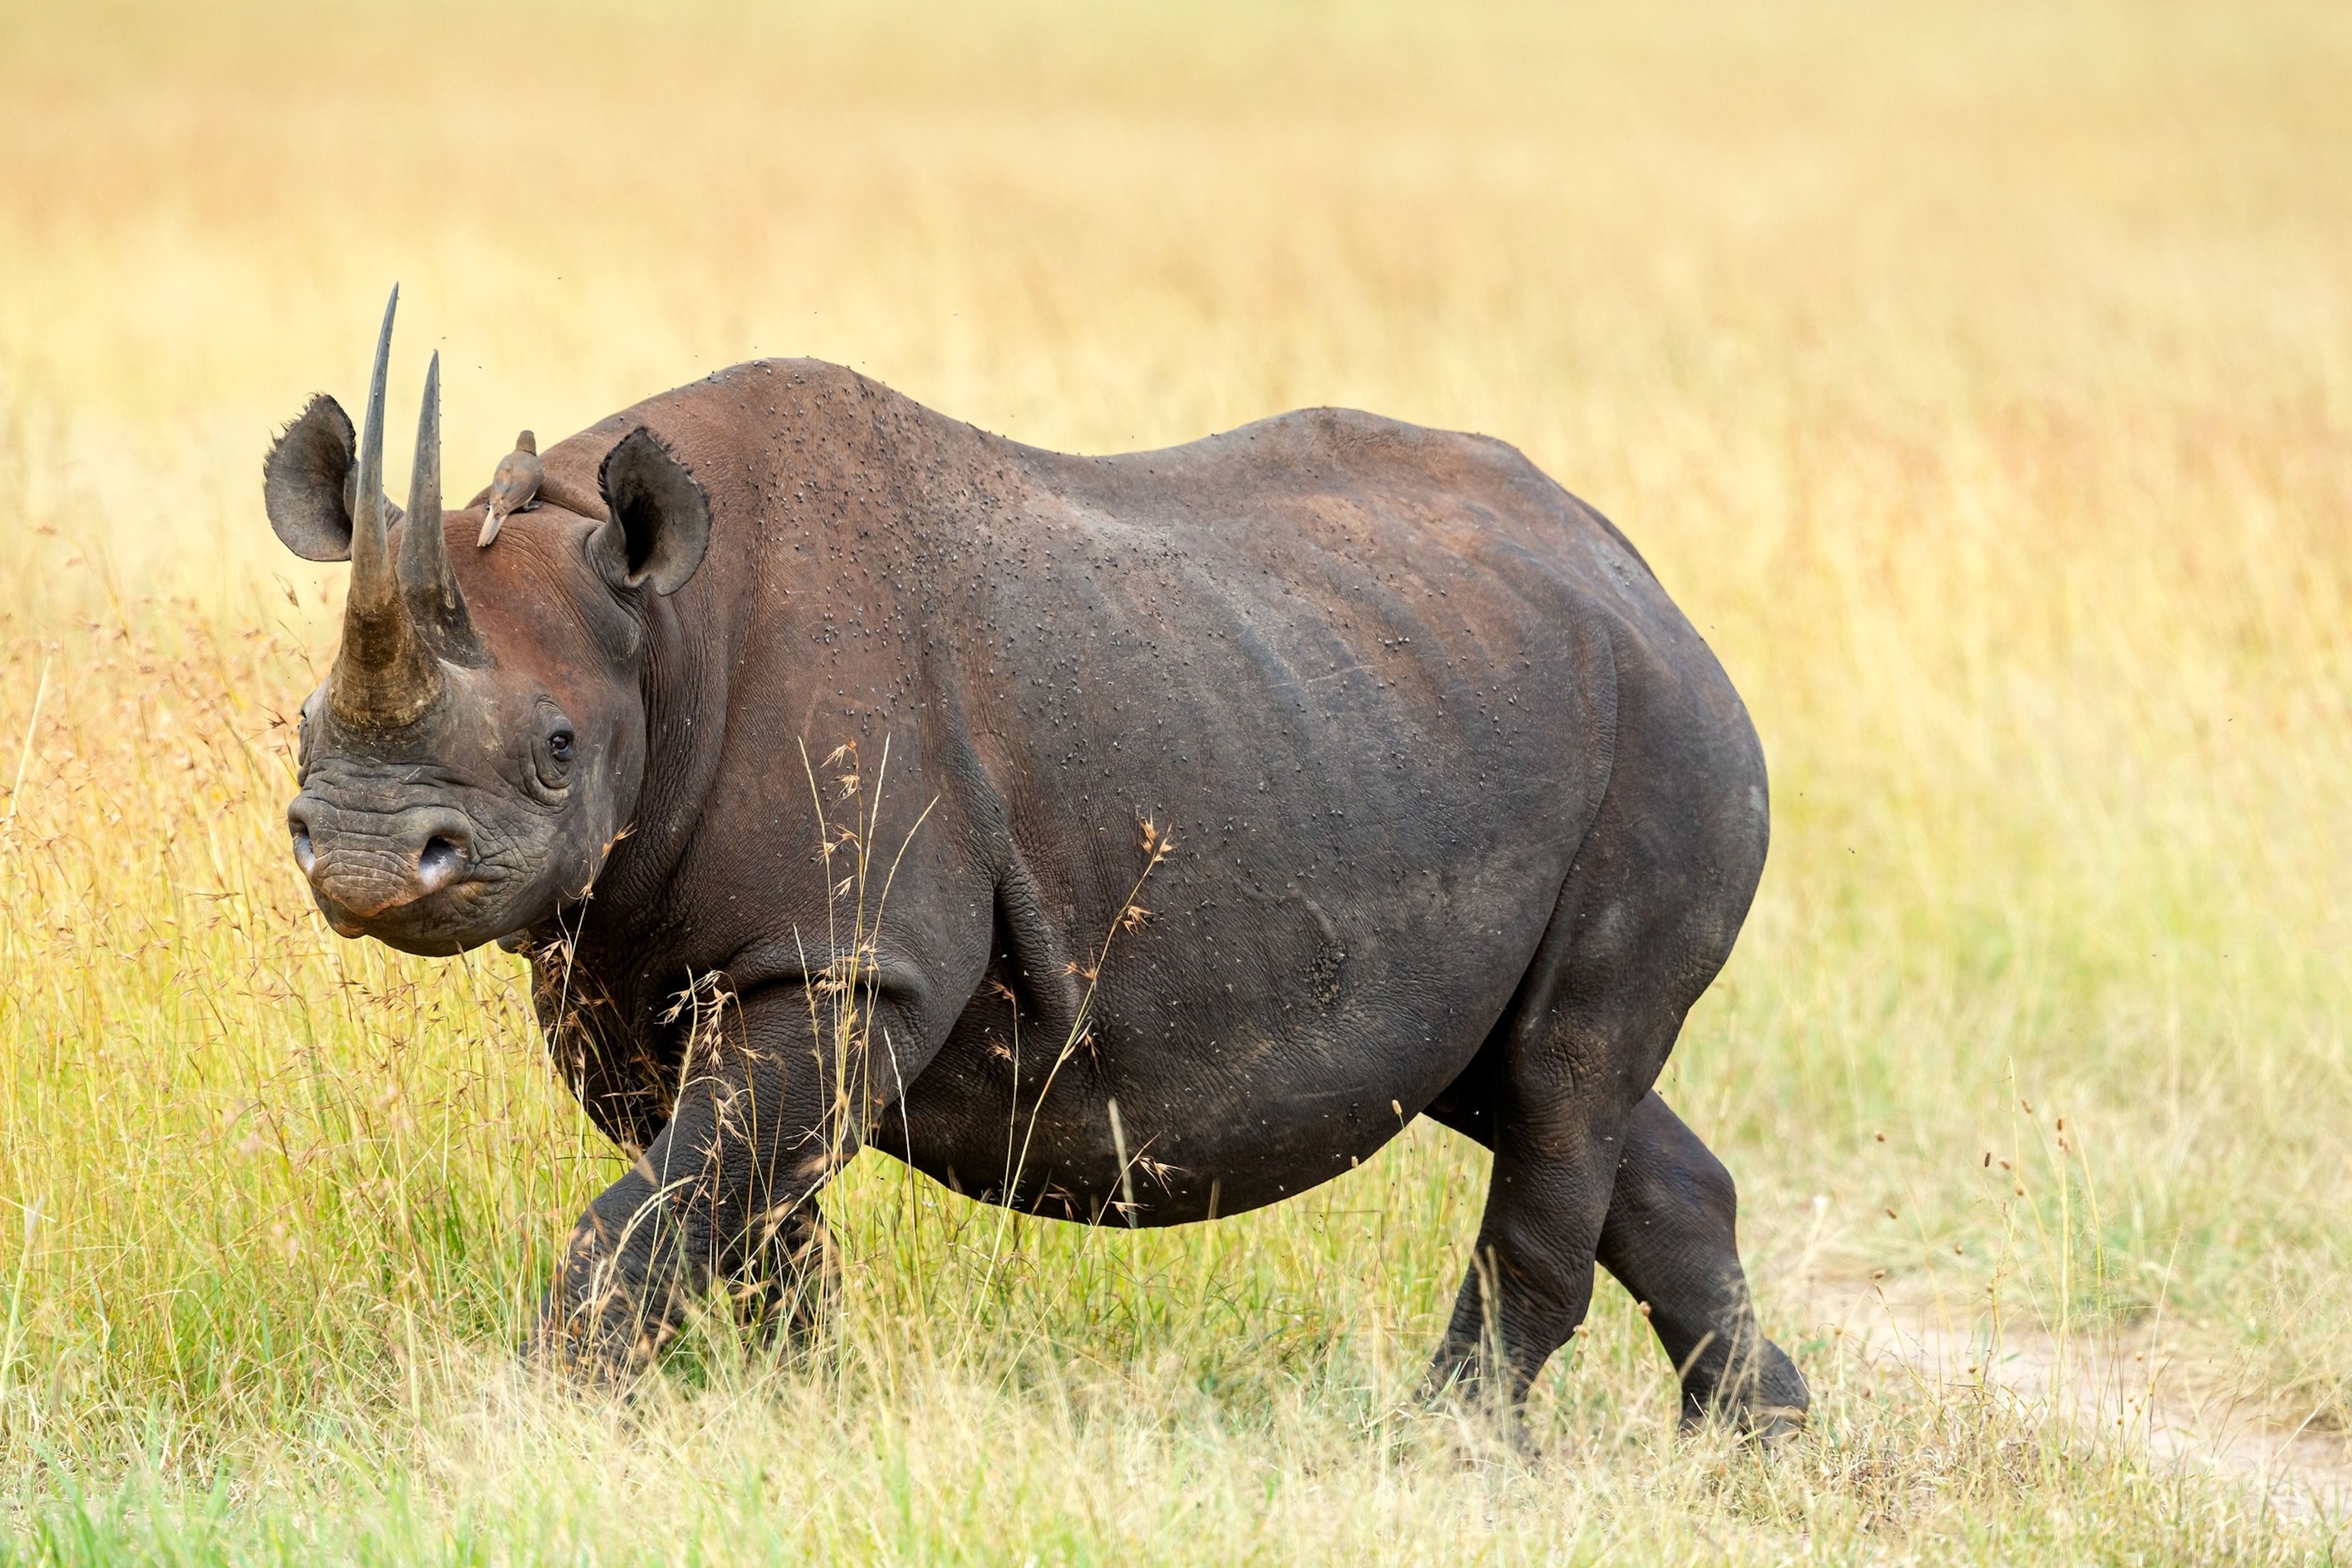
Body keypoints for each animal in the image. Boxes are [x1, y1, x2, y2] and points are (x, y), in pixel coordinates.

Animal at [262, 290, 1808, 1433]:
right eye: (303, 726)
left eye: (558, 748)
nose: (365, 854)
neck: (660, 628)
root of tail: (1643, 577)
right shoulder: (616, 967)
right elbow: (738, 1213)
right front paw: (802, 1414)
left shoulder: (851, 961)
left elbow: (673, 1203)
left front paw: (533, 1423)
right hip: (1446, 704)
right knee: (1533, 1076)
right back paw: (1759, 1444)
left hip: (1661, 743)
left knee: (1567, 1069)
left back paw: (1445, 1454)